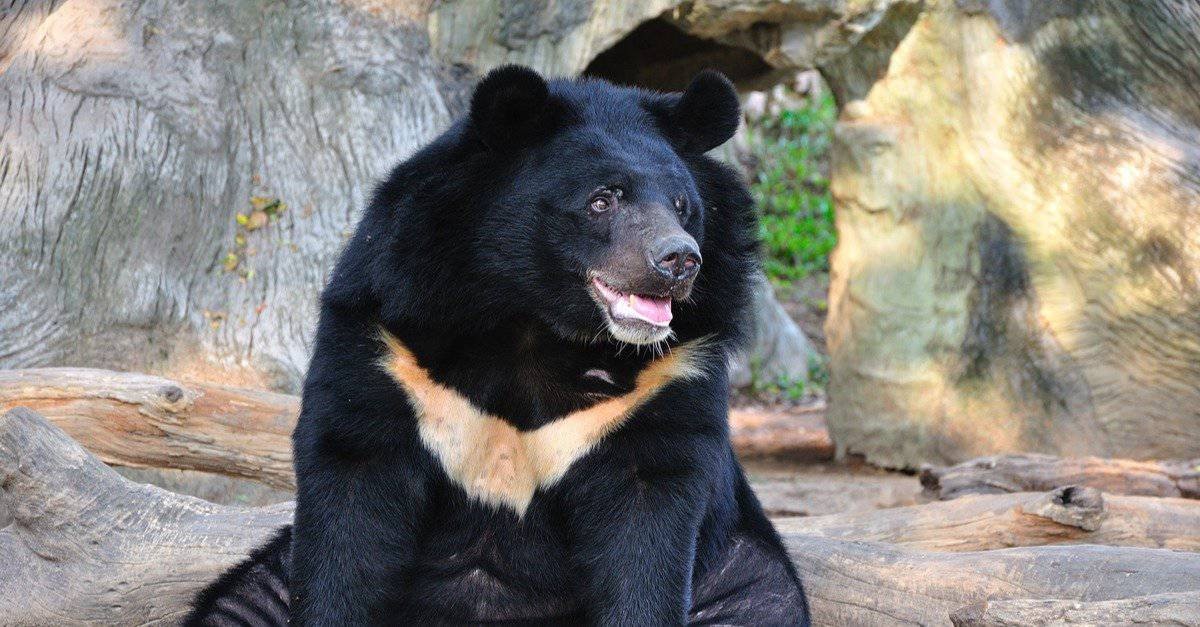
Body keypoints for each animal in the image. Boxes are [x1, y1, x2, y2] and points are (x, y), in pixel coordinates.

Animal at [184, 65, 810, 626]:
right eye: (603, 200)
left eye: (684, 206)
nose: (678, 261)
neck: (532, 318)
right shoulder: (386, 340)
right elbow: (350, 498)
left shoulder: (673, 370)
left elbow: (648, 524)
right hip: (270, 577)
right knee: (240, 604)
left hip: (736, 572)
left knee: (762, 602)